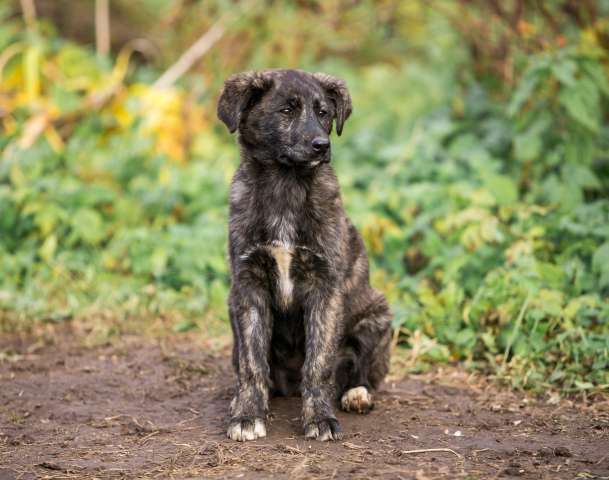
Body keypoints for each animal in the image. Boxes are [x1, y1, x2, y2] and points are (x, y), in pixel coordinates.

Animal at [216, 69, 392, 440]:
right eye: (286, 111)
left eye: (324, 112)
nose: (322, 146)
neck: (286, 184)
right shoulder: (248, 286)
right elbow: (252, 363)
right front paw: (247, 414)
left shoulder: (325, 288)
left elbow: (319, 364)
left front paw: (320, 419)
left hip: (377, 315)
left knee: (357, 368)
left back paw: (357, 394)